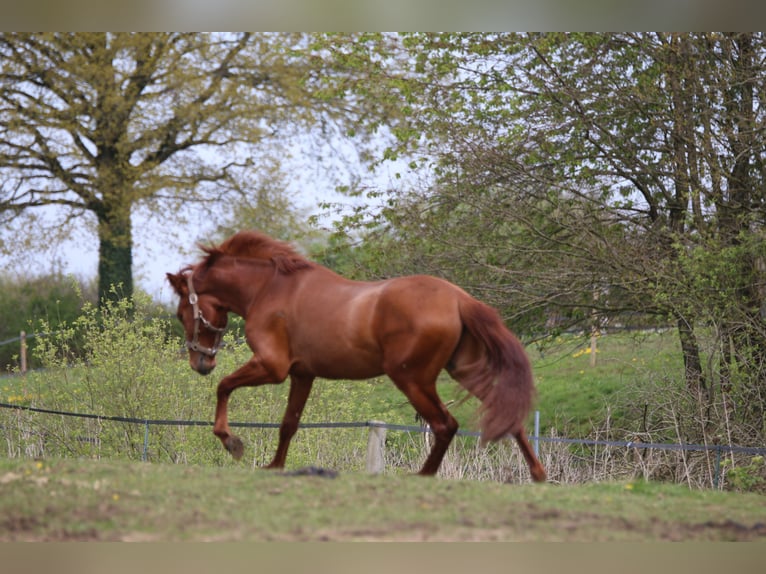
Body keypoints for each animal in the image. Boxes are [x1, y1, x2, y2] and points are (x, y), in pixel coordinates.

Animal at [168, 232, 548, 484]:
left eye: (180, 313)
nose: (201, 363)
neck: (270, 288)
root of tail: (458, 298)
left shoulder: (272, 367)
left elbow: (224, 386)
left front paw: (231, 441)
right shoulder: (302, 374)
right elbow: (288, 424)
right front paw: (275, 467)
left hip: (412, 379)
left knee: (446, 425)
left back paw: (422, 475)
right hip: (465, 372)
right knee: (510, 419)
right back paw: (538, 473)